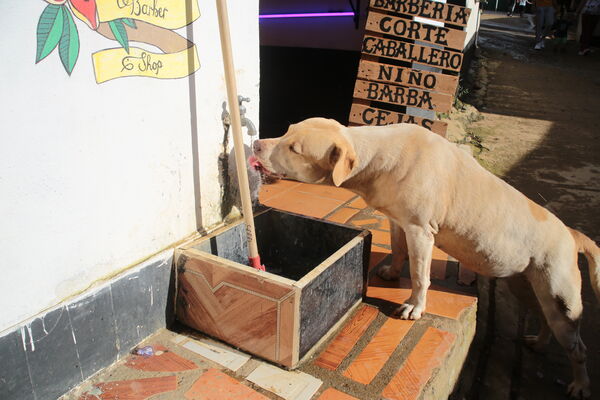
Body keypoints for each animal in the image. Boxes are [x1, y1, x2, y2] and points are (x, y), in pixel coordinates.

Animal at [252, 116, 600, 396]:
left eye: (294, 148)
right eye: (286, 130)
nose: (255, 143)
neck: (373, 154)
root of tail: (571, 234)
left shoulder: (420, 230)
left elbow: (420, 275)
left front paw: (414, 307)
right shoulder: (397, 220)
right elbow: (397, 248)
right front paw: (392, 272)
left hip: (560, 292)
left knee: (579, 346)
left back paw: (581, 384)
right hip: (526, 284)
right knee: (545, 317)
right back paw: (539, 343)